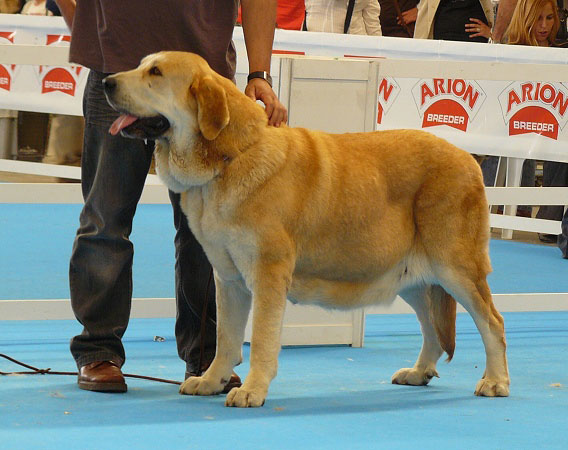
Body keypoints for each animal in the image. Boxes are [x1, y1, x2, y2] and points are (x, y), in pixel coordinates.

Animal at [103, 51, 510, 406]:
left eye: (155, 73)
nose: (106, 81)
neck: (229, 157)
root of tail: (468, 159)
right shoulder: (228, 278)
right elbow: (227, 339)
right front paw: (212, 380)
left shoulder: (268, 274)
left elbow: (261, 339)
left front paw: (252, 390)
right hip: (412, 276)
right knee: (432, 329)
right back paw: (419, 372)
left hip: (456, 269)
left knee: (493, 322)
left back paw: (495, 381)